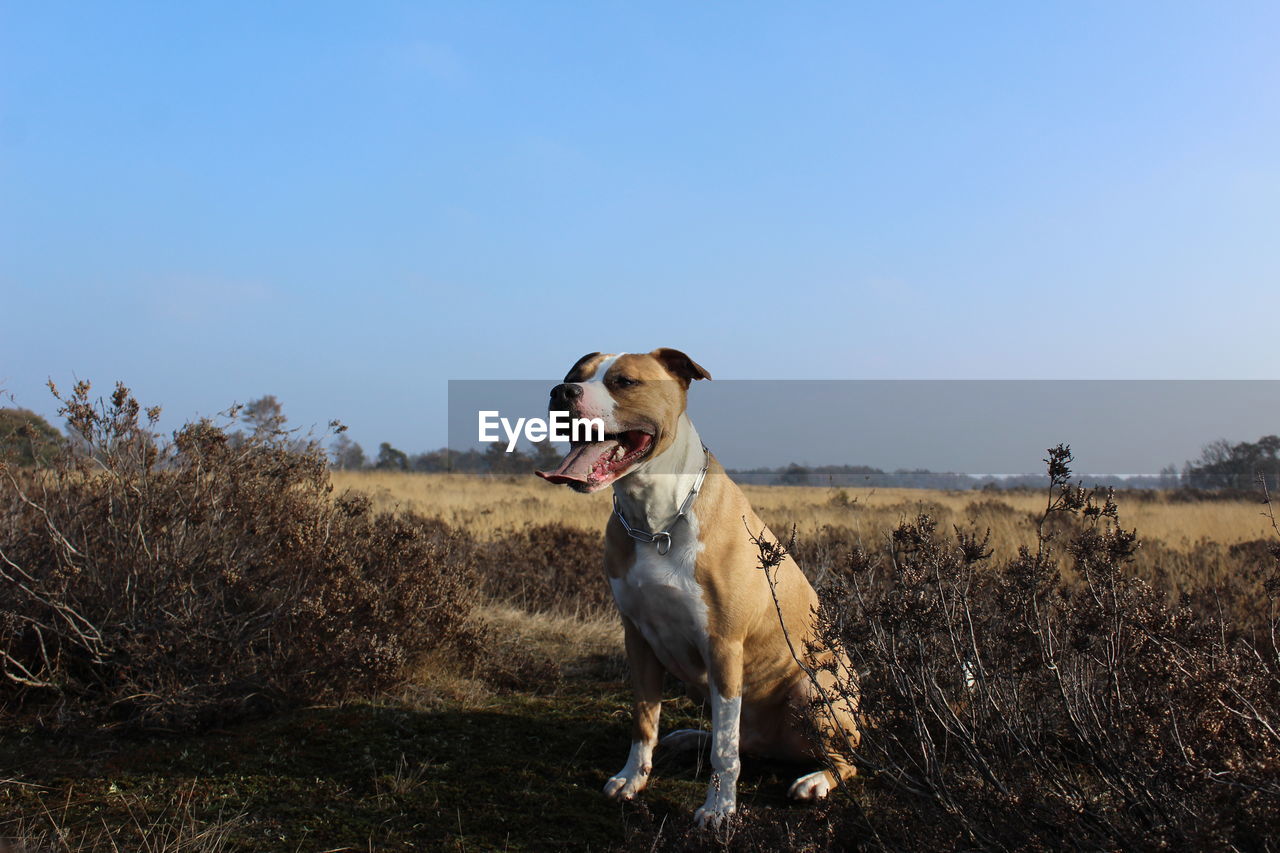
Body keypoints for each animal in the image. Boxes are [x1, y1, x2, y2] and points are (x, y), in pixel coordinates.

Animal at [535, 345, 855, 824]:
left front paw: (719, 809)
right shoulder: (638, 637)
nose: (561, 391)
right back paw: (688, 737)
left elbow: (725, 751)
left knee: (839, 759)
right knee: (740, 741)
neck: (656, 522)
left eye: (624, 382)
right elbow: (644, 719)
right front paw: (632, 779)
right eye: (574, 375)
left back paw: (815, 780)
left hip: (812, 689)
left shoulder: (723, 646)